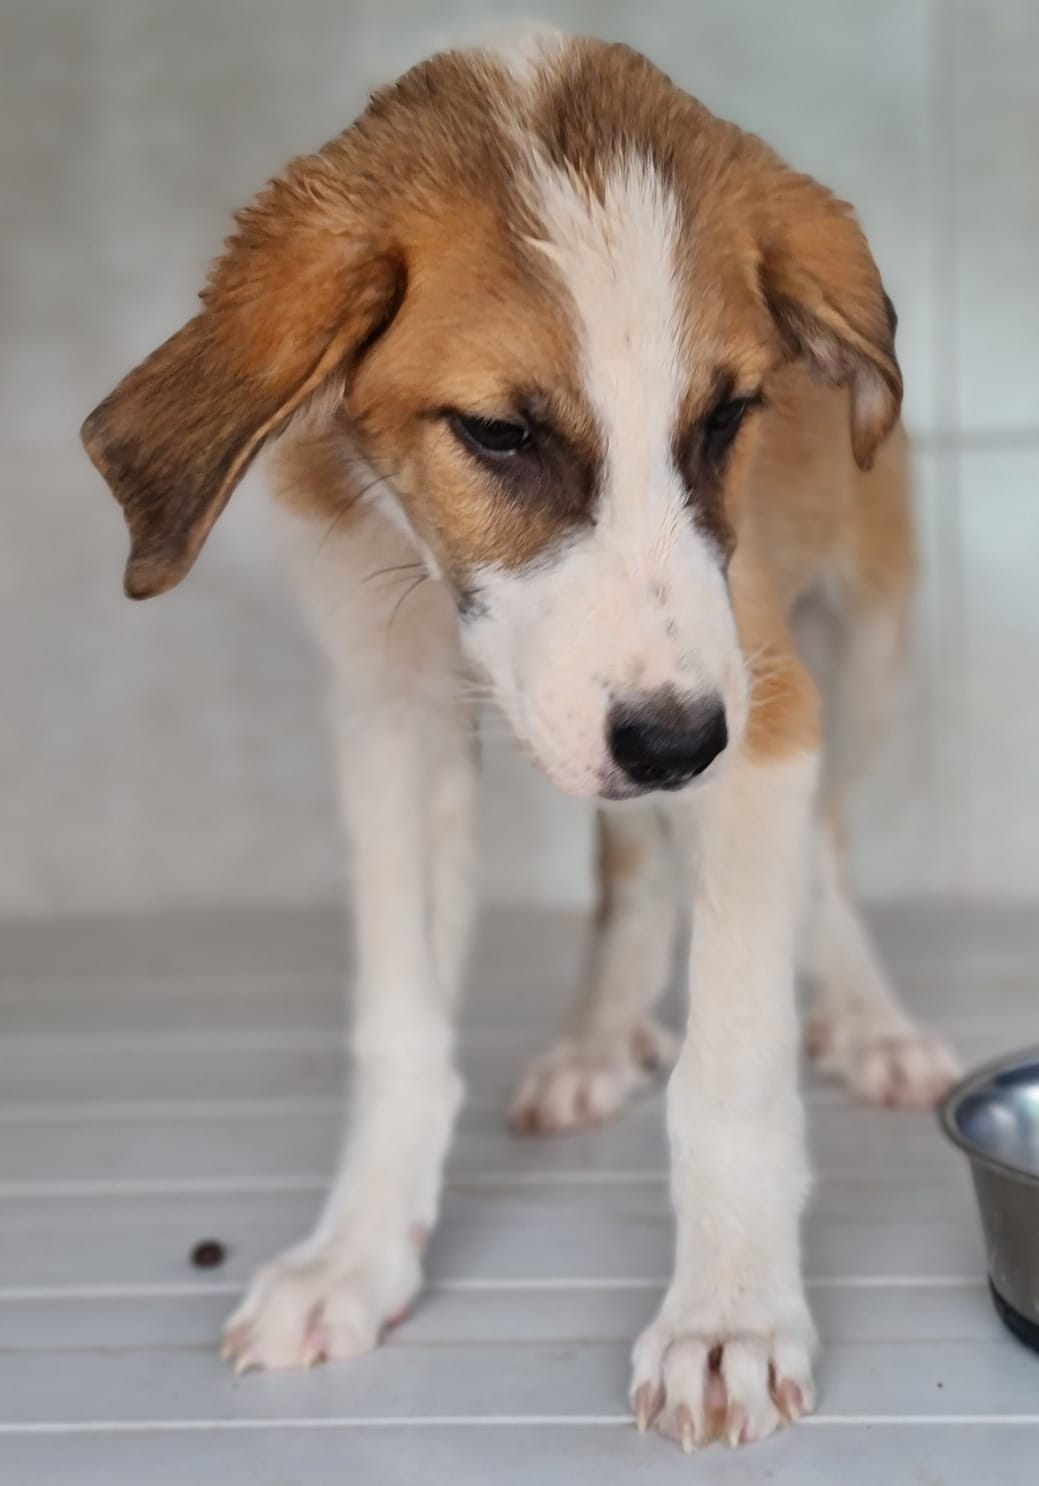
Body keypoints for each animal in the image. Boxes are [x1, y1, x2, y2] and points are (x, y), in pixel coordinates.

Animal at [81, 30, 961, 1451]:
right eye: (498, 434)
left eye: (729, 419)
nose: (676, 744)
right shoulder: (392, 718)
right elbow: (399, 1031)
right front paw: (357, 1253)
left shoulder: (759, 701)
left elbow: (731, 1061)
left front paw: (725, 1311)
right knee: (640, 861)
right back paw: (597, 1038)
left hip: (862, 644)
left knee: (819, 848)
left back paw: (868, 1018)